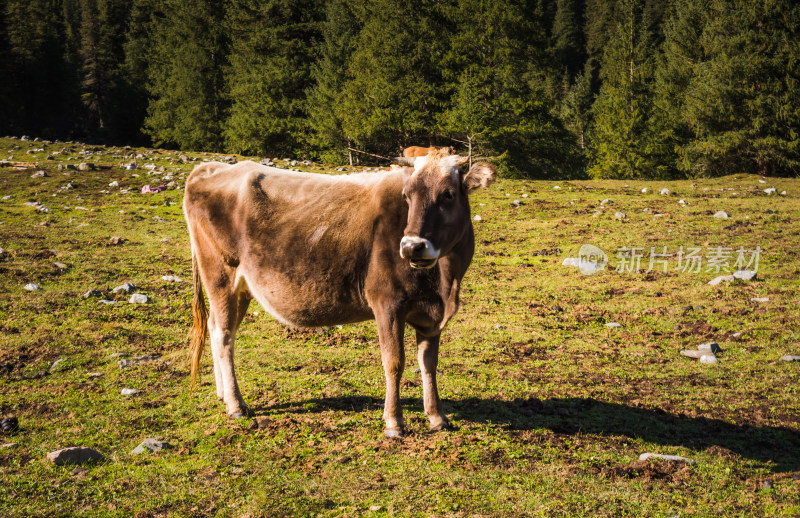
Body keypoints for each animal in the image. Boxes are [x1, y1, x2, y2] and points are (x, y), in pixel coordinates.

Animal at [184, 151, 494, 438]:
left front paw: (437, 417)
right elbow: (394, 362)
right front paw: (394, 423)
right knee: (224, 335)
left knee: (217, 328)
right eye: (407, 195)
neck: (443, 283)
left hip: (241, 289)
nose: (411, 246)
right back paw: (236, 404)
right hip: (221, 276)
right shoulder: (387, 304)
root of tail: (211, 168)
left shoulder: (431, 316)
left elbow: (429, 364)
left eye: (448, 194)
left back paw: (222, 393)